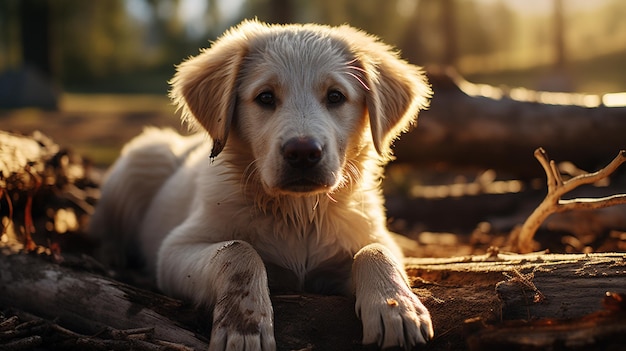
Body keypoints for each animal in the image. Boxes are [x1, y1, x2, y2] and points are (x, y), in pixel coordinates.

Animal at [90, 20, 432, 351]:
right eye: (265, 97)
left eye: (336, 96)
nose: (303, 152)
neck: (299, 214)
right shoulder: (174, 249)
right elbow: (239, 250)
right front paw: (244, 326)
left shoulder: (363, 241)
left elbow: (375, 250)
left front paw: (397, 307)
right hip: (146, 156)